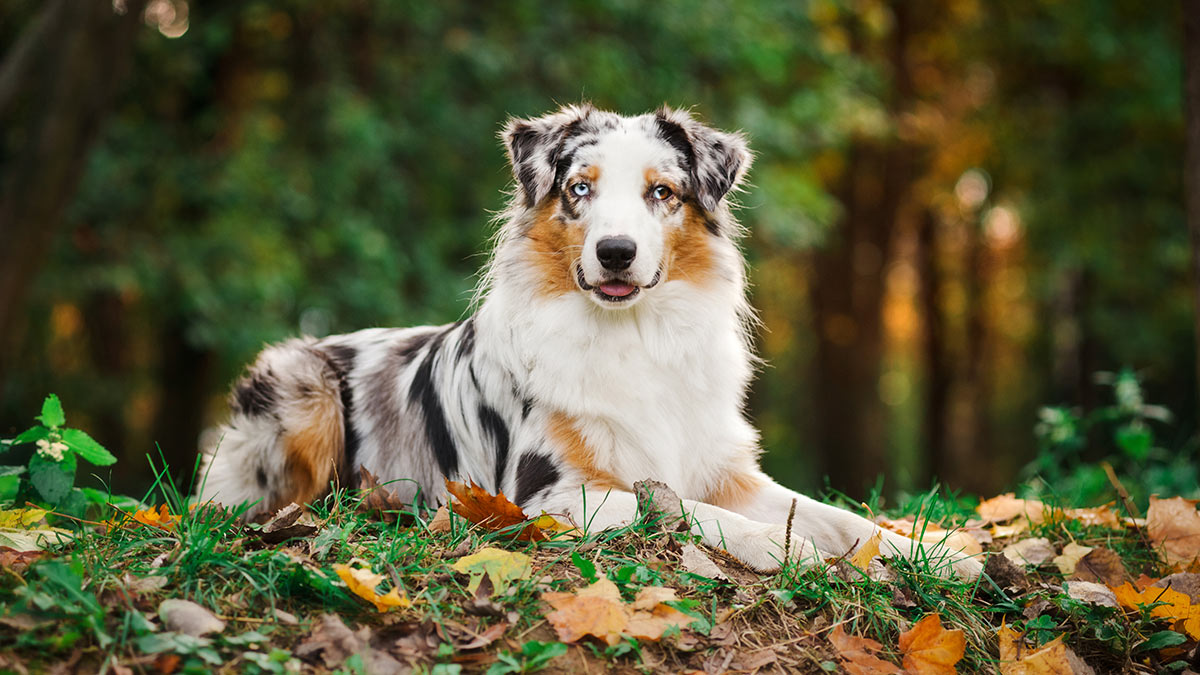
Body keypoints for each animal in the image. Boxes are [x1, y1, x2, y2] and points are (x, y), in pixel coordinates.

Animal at [199, 102, 984, 576]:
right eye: (580, 188)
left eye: (662, 192)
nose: (615, 252)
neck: (633, 333)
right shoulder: (547, 494)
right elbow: (676, 506)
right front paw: (774, 546)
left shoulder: (725, 470)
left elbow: (834, 514)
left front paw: (938, 551)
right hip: (300, 383)